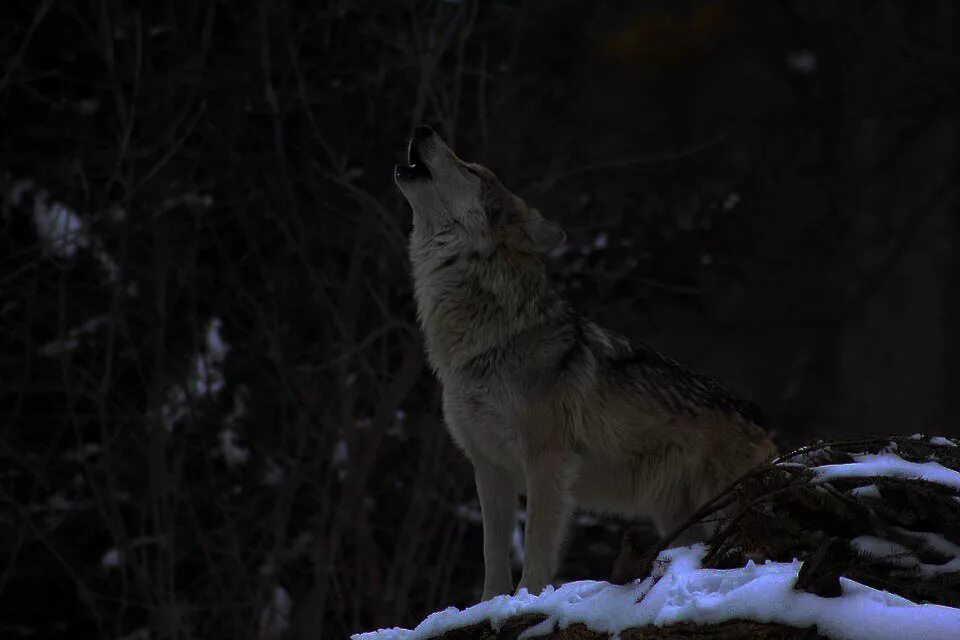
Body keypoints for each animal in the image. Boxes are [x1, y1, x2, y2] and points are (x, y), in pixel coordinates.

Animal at [394, 126, 776, 600]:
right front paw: (489, 605)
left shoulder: (547, 462)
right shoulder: (490, 468)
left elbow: (536, 549)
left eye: (471, 169)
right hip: (678, 522)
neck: (487, 342)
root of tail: (761, 422)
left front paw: (527, 600)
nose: (422, 128)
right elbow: (492, 557)